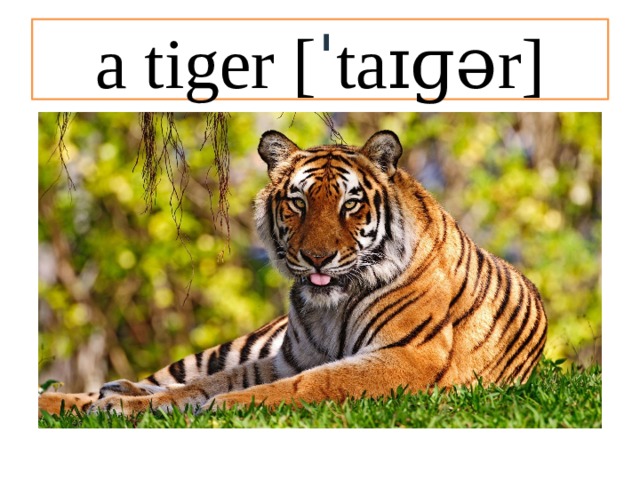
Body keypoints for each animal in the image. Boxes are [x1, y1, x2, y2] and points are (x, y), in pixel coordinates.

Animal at [38, 129, 547, 417]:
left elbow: (314, 383)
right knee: (166, 377)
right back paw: (89, 397)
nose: (317, 257)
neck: (332, 306)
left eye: (350, 204)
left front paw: (221, 408)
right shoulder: (289, 358)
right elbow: (209, 383)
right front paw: (127, 406)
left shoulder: (407, 356)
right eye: (298, 203)